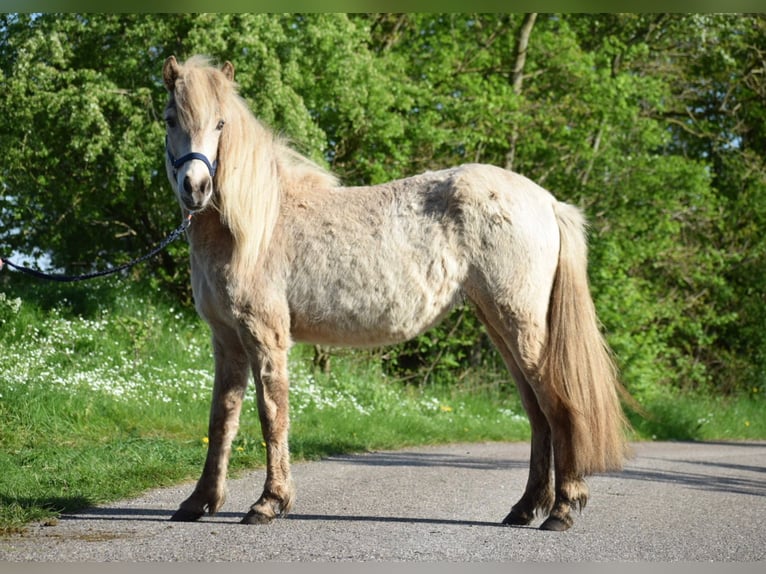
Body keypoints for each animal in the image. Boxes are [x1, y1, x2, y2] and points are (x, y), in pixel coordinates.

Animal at [160, 56, 632, 532]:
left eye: (221, 123)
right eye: (170, 119)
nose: (195, 188)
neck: (256, 225)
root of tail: (549, 203)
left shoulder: (264, 335)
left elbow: (272, 415)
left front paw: (268, 503)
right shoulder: (226, 340)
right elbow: (222, 419)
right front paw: (199, 502)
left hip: (521, 325)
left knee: (560, 407)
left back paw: (562, 509)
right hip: (501, 326)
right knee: (538, 415)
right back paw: (524, 508)